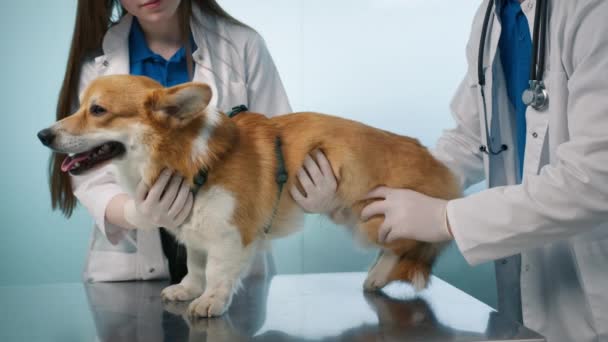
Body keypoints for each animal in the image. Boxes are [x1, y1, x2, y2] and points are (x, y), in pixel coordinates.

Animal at [38, 75, 458, 318]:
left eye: (97, 110)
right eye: (80, 106)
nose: (43, 135)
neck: (186, 156)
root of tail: (438, 164)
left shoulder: (231, 235)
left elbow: (218, 272)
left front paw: (210, 301)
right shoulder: (196, 233)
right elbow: (196, 266)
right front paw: (187, 289)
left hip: (374, 218)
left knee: (413, 245)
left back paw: (381, 273)